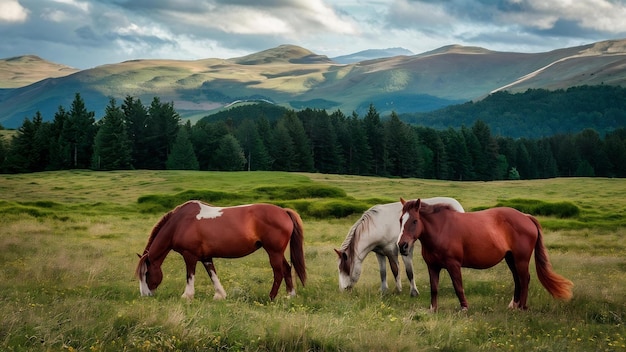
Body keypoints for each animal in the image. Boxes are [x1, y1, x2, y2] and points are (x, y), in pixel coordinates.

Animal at [134, 201, 304, 300]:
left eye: (146, 274)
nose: (145, 295)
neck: (179, 223)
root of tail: (283, 211)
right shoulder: (206, 257)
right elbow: (213, 275)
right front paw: (220, 295)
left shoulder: (190, 256)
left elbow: (190, 275)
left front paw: (187, 296)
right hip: (277, 252)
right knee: (287, 269)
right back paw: (290, 295)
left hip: (273, 252)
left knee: (278, 272)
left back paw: (271, 297)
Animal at [398, 198, 572, 310]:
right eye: (400, 220)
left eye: (414, 221)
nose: (402, 246)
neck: (441, 229)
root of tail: (526, 217)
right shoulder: (433, 267)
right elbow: (434, 288)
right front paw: (433, 309)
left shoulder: (453, 265)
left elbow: (458, 286)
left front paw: (464, 308)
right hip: (511, 259)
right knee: (518, 280)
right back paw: (514, 305)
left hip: (520, 260)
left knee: (524, 280)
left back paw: (522, 307)